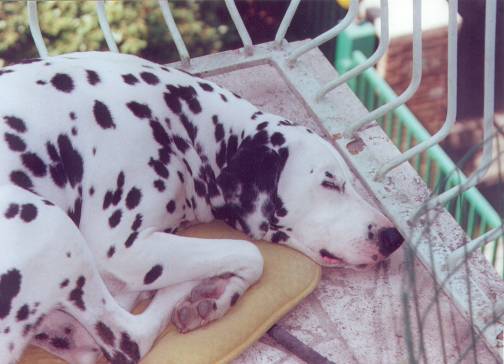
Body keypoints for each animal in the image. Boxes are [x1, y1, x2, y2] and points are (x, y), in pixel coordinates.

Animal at [0, 52, 402, 364]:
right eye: (330, 181)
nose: (394, 237)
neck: (180, 123)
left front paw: (219, 293)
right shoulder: (123, 247)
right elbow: (251, 254)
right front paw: (216, 290)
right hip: (48, 222)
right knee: (130, 337)